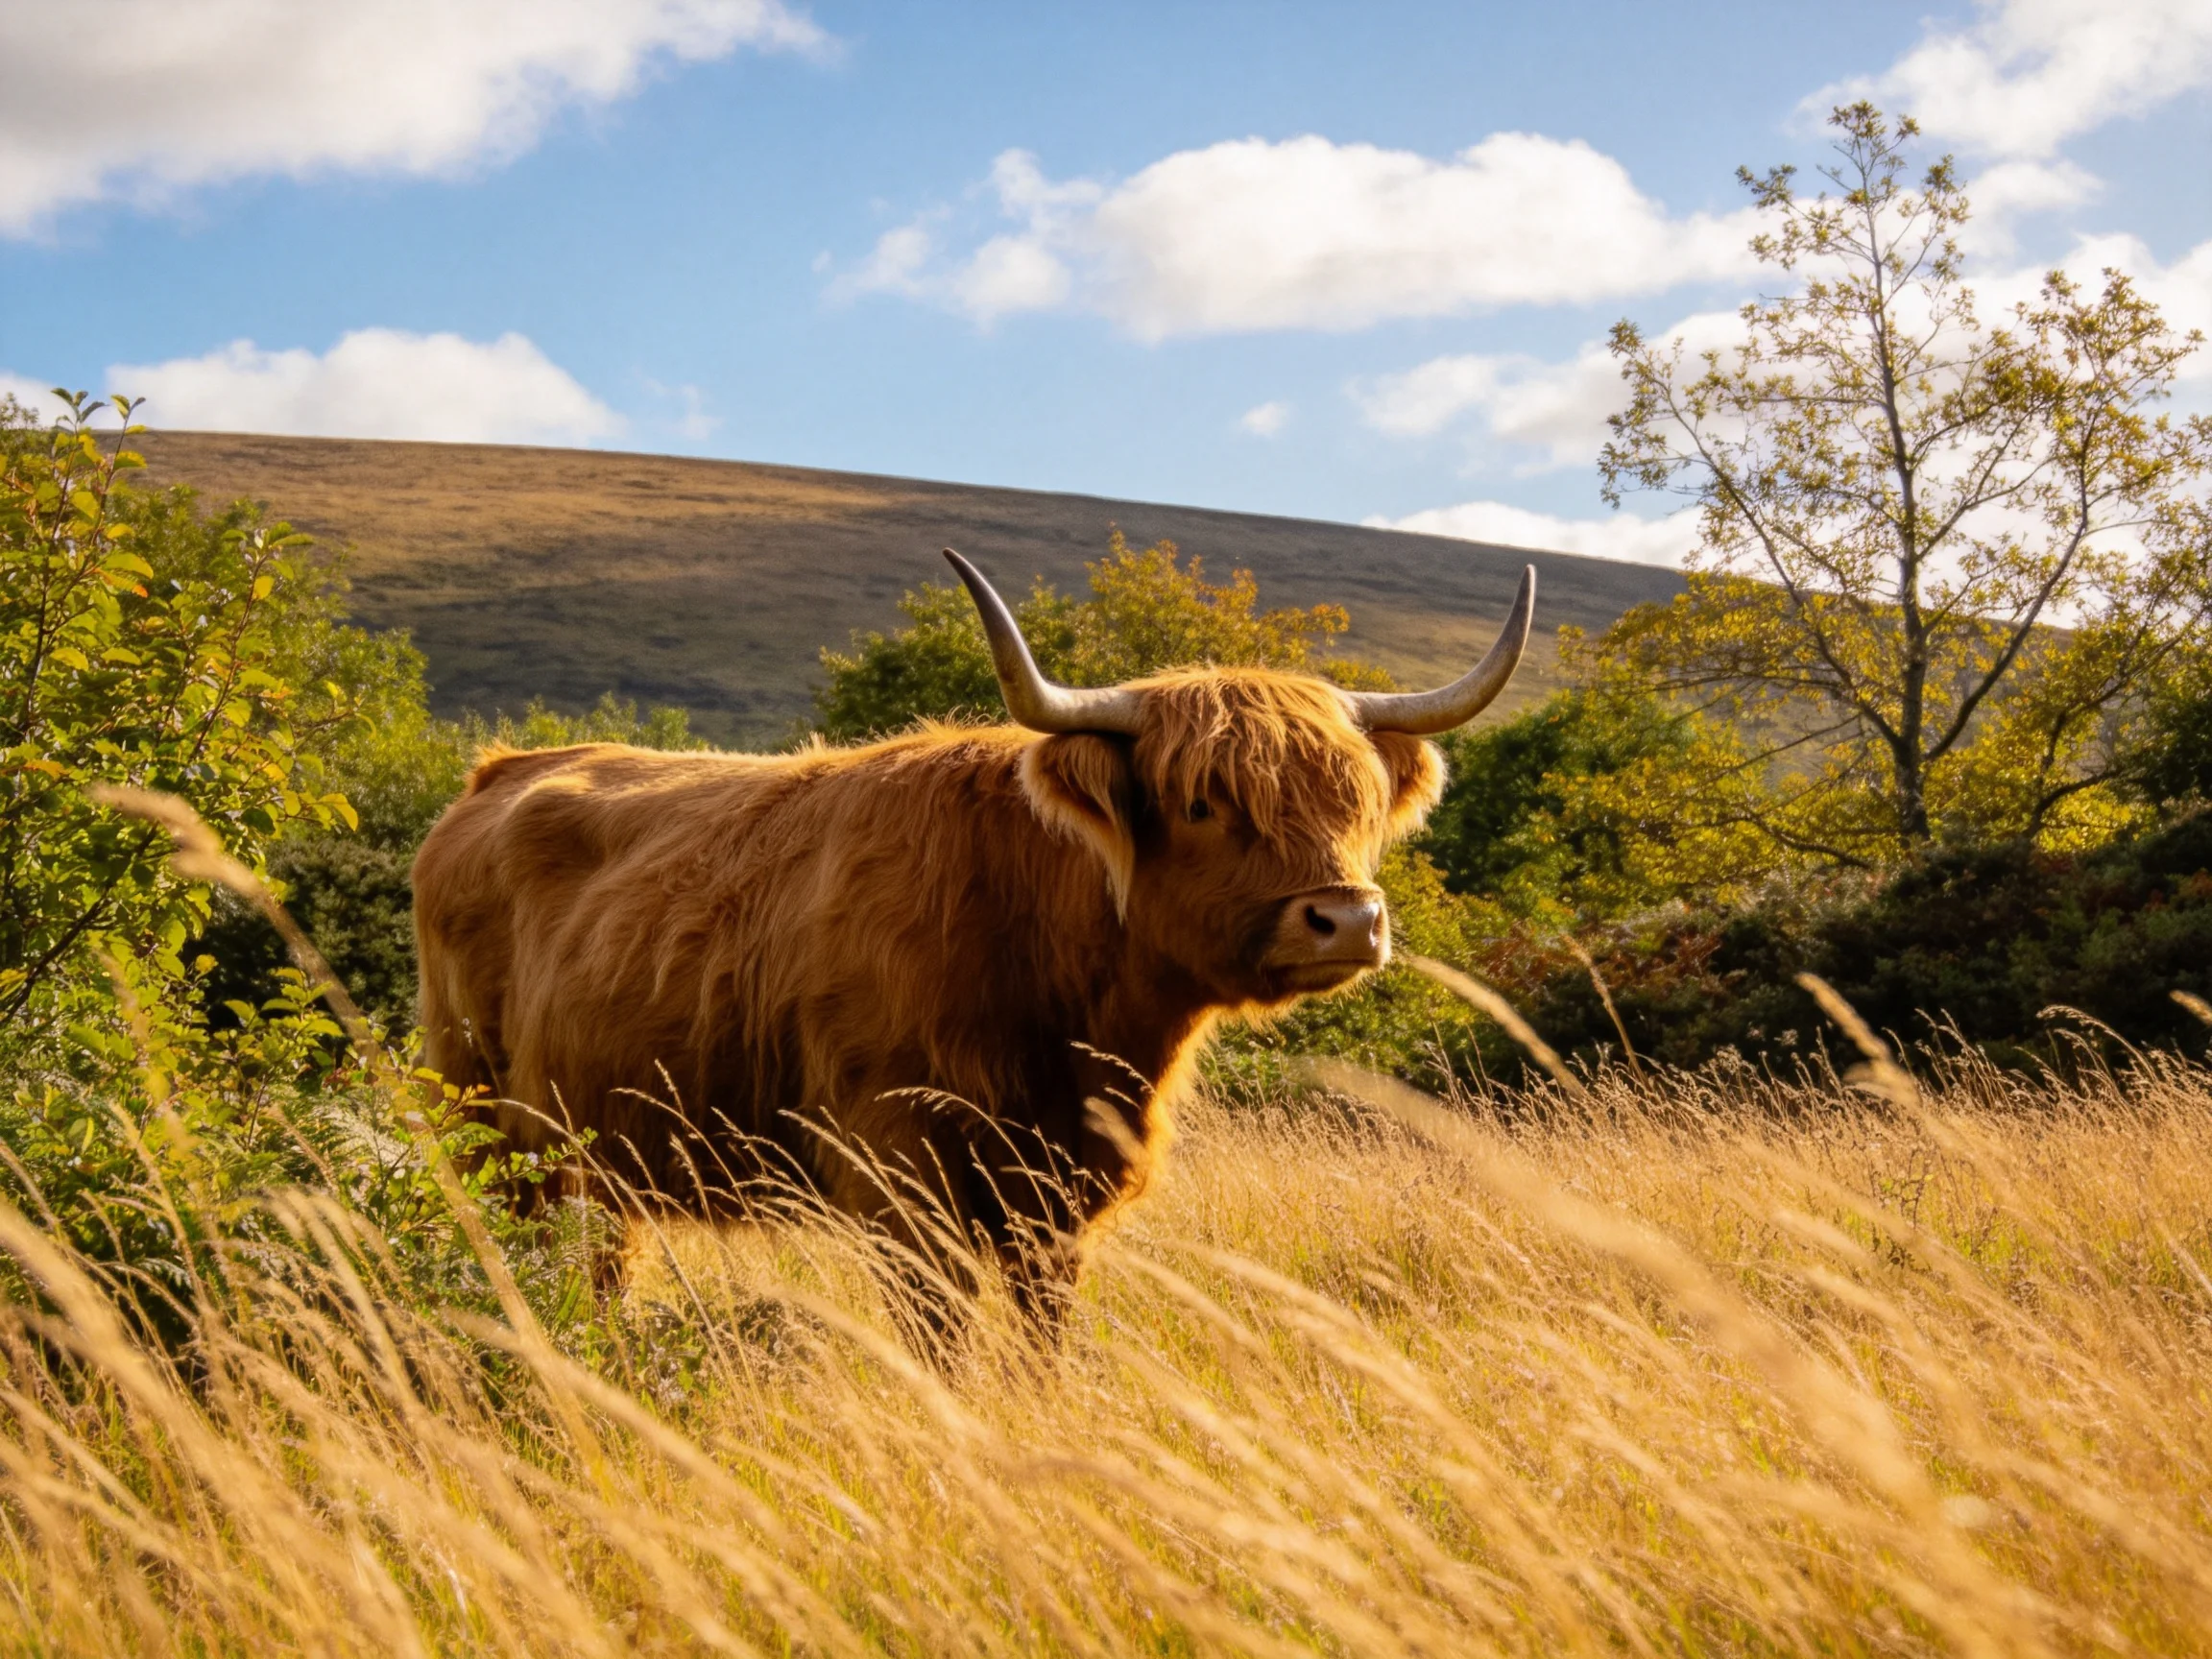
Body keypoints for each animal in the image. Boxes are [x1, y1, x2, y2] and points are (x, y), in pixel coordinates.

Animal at [411, 549, 1533, 1328]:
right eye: (1202, 802)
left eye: (1355, 799)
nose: (1348, 918)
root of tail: (498, 773)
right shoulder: (900, 1172)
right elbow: (942, 1338)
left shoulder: (1060, 1195)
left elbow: (1045, 1338)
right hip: (488, 1125)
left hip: (600, 1157)